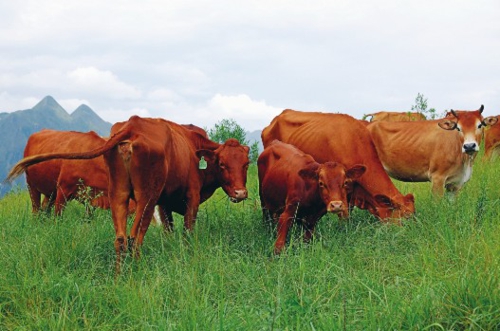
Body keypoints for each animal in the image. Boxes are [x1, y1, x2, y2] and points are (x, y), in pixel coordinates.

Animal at [6, 115, 249, 272]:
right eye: (222, 164)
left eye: (246, 164)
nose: (240, 193)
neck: (192, 147)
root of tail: (133, 124)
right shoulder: (190, 198)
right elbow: (187, 232)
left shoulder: (164, 204)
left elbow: (169, 231)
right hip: (145, 197)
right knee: (135, 238)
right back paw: (136, 270)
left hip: (118, 194)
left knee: (121, 239)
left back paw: (119, 275)